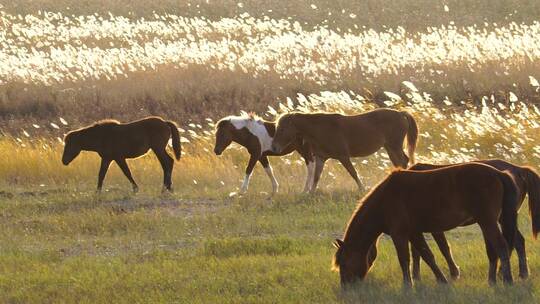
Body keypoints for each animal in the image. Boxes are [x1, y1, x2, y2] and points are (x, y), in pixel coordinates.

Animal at [270, 108, 418, 191]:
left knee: (403, 161)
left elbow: (354, 173)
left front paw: (362, 190)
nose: (274, 147)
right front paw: (310, 194)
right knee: (400, 162)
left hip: (394, 146)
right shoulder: (321, 158)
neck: (321, 128)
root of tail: (401, 113)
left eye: (282, 129)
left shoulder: (343, 156)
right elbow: (316, 177)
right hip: (390, 148)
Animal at [334, 162, 520, 288]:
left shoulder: (399, 234)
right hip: (486, 223)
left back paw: (508, 280)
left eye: (343, 262)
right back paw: (492, 281)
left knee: (501, 246)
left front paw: (408, 285)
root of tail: (498, 173)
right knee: (493, 251)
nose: (345, 287)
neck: (385, 199)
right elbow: (427, 255)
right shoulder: (414, 233)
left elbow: (405, 259)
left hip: (487, 221)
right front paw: (442, 280)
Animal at [410, 160, 540, 282]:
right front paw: (416, 276)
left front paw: (453, 273)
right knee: (517, 241)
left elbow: (443, 248)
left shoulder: (433, 228)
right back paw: (521, 273)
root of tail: (518, 169)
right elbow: (417, 251)